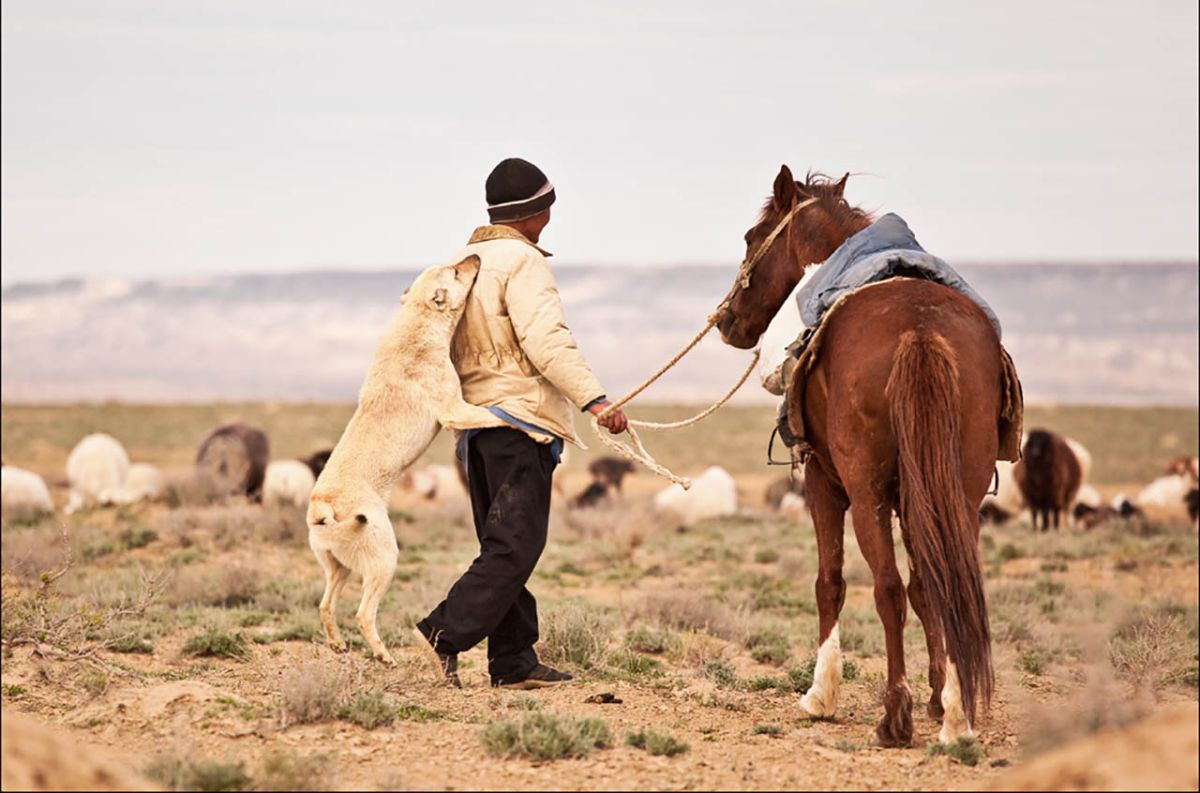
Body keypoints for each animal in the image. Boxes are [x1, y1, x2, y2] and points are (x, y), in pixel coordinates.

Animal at [720, 164, 1003, 743]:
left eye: (751, 238)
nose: (725, 320)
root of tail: (921, 330)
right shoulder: (919, 496)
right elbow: (927, 588)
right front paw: (939, 698)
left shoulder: (823, 483)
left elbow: (830, 582)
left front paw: (820, 694)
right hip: (959, 489)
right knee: (952, 585)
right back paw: (957, 718)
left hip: (865, 487)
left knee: (886, 588)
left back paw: (894, 715)